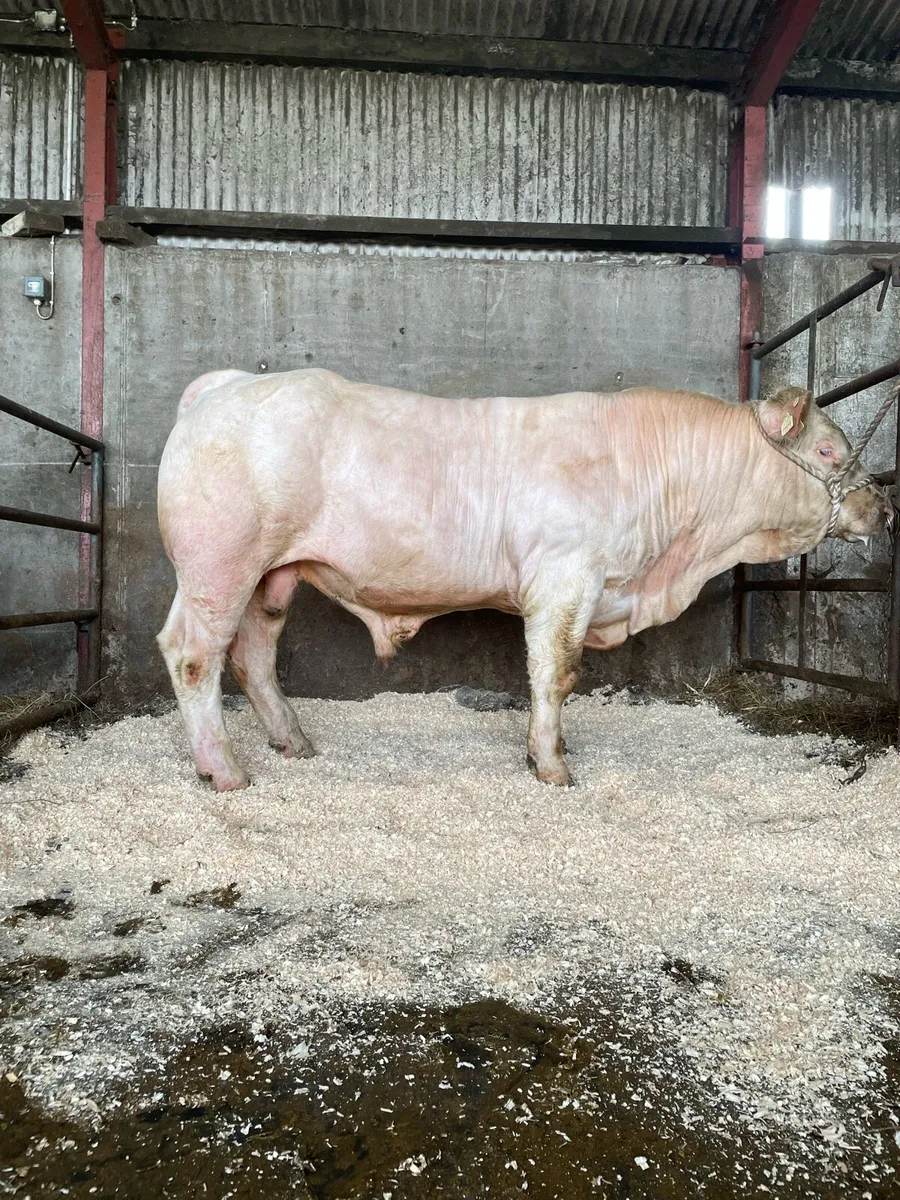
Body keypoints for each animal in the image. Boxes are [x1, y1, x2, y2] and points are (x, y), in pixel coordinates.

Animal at [157, 369, 890, 791]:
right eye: (829, 450)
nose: (882, 506)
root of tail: (219, 388)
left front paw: (550, 750)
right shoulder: (566, 578)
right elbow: (555, 674)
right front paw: (551, 764)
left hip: (271, 576)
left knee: (252, 654)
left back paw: (293, 741)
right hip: (219, 565)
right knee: (194, 655)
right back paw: (224, 769)